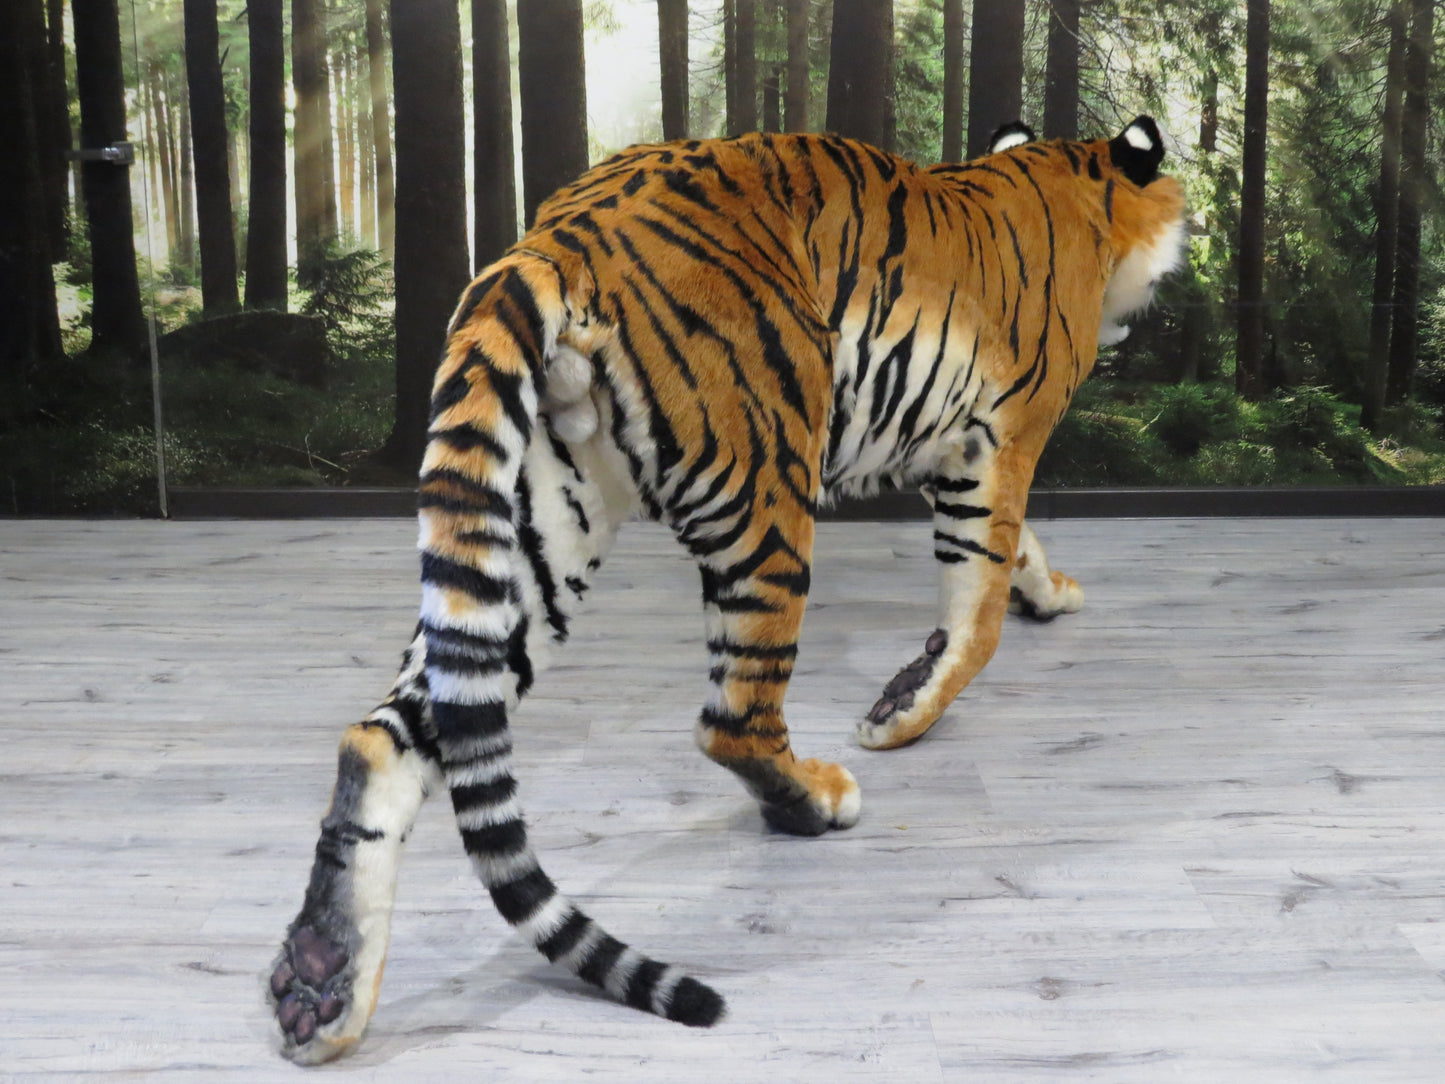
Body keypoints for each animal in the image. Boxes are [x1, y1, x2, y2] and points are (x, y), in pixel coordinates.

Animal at [269, 116, 1186, 1062]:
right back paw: (815, 800)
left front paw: (1052, 590)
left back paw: (321, 982)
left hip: (536, 529)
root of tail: (557, 234)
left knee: (384, 737)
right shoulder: (995, 444)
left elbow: (1013, 559)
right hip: (768, 485)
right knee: (734, 719)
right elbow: (978, 609)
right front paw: (901, 714)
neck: (1068, 177)